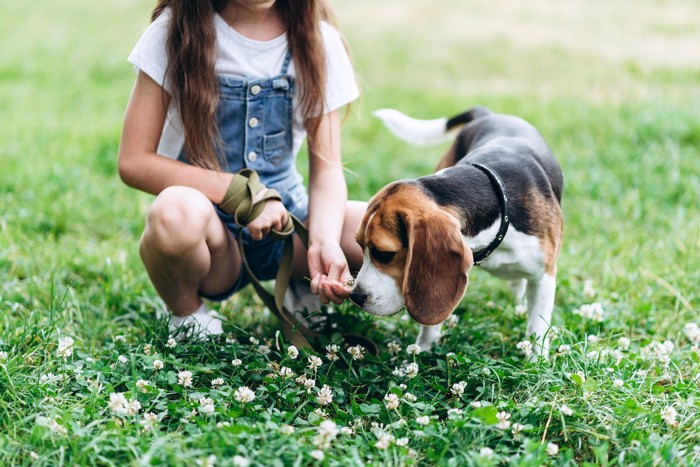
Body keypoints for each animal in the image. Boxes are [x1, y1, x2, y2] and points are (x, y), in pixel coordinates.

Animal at [350, 107, 564, 358]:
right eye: (359, 246)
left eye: (384, 254)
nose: (355, 297)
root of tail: (488, 114)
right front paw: (423, 350)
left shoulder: (544, 275)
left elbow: (537, 327)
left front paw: (535, 360)